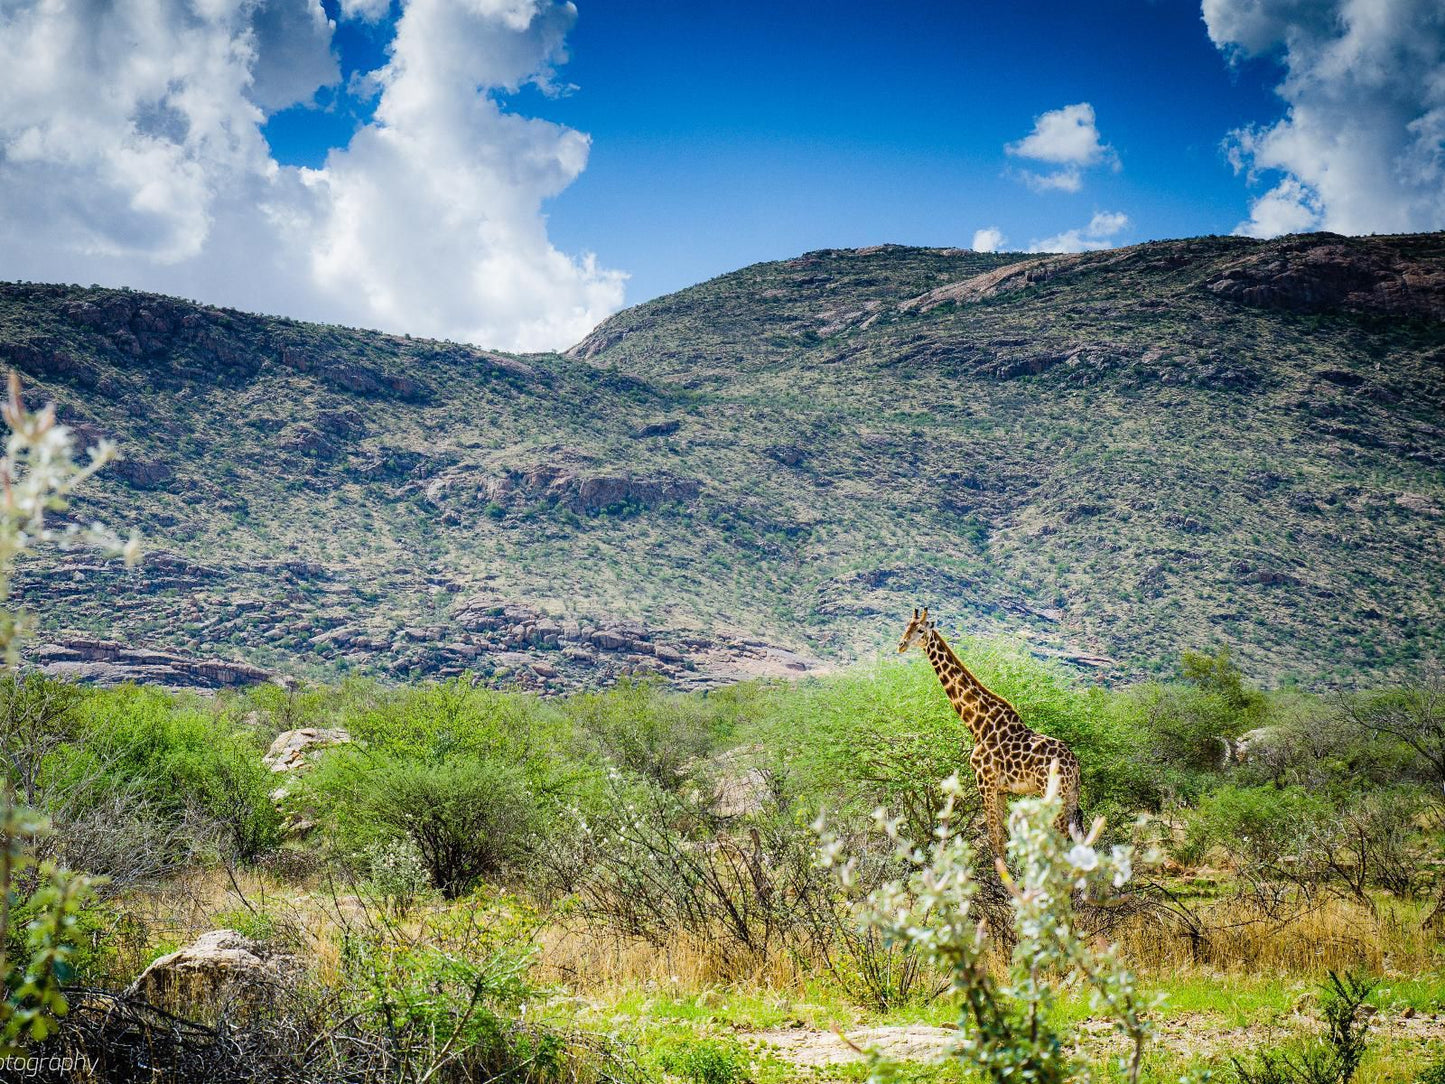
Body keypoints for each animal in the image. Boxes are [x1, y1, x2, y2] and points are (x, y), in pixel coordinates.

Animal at [890, 607, 1086, 861]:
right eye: (907, 626)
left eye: (921, 630)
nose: (901, 645)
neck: (978, 724)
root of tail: (1075, 764)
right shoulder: (1001, 790)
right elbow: (1001, 838)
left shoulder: (985, 783)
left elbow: (995, 840)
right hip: (1071, 793)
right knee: (1078, 837)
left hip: (1051, 791)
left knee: (1061, 837)